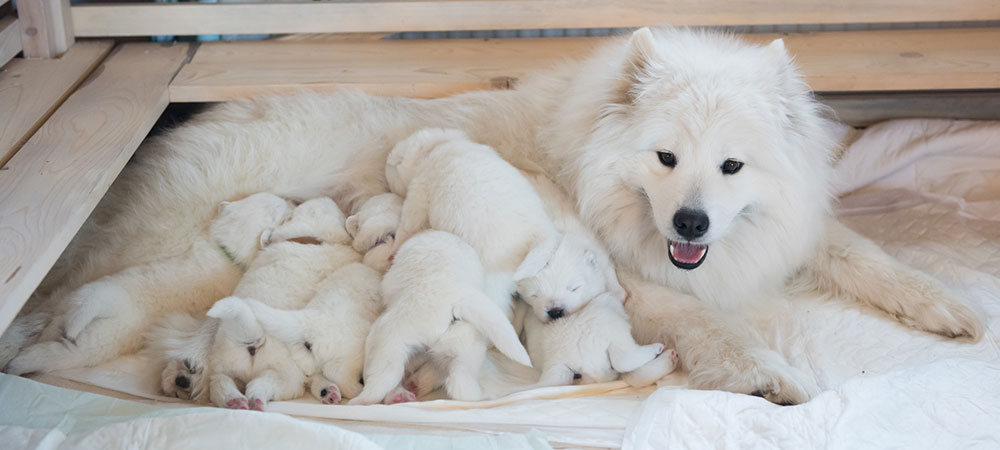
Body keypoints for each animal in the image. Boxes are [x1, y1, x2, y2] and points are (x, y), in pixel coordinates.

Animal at [6, 193, 292, 376]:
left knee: (58, 337)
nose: (292, 201)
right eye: (279, 210)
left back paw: (22, 358)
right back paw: (21, 360)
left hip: (82, 313)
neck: (226, 251)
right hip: (99, 323)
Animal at [352, 232, 536, 404]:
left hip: (387, 341)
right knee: (460, 384)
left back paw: (364, 400)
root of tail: (452, 302)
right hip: (464, 347)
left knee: (381, 383)